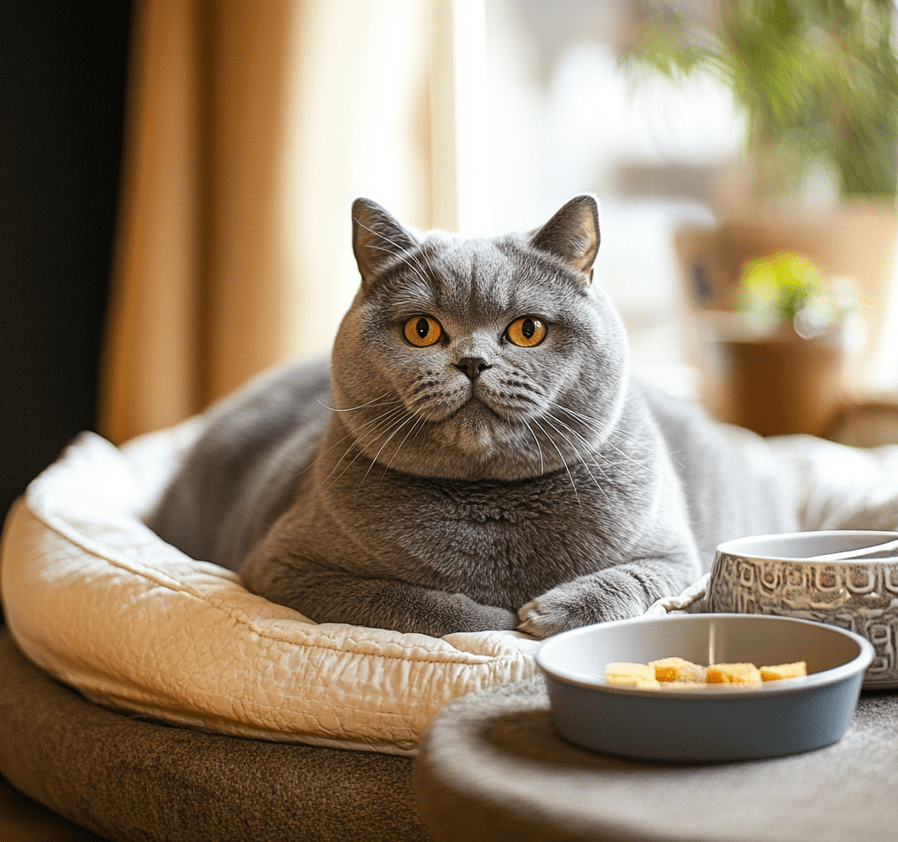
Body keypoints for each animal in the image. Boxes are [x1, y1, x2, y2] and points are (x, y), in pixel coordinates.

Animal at [150, 192, 796, 636]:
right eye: (422, 329)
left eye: (527, 330)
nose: (472, 362)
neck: (491, 503)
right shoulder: (284, 568)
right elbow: (396, 599)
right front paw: (492, 619)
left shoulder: (677, 558)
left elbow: (633, 579)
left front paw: (549, 613)